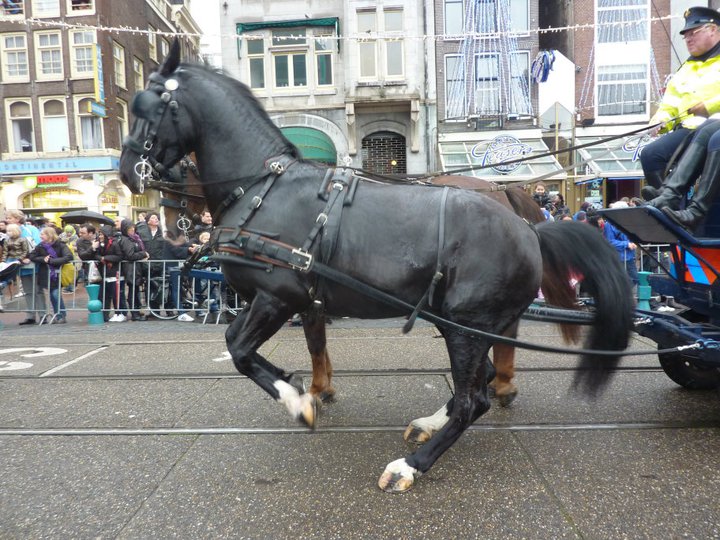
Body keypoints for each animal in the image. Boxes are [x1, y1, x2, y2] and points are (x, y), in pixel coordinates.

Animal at [121, 43, 632, 494]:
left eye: (149, 105)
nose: (128, 170)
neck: (263, 188)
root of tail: (530, 229)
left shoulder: (277, 297)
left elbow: (240, 349)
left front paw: (301, 401)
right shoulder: (295, 302)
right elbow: (264, 345)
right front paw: (303, 387)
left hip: (466, 324)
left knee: (474, 399)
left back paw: (411, 465)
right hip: (461, 322)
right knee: (480, 379)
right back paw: (430, 422)